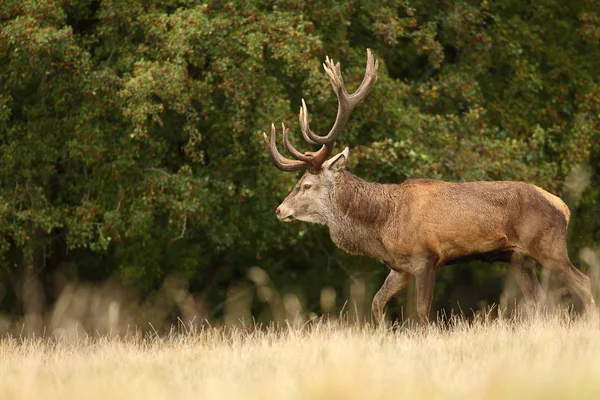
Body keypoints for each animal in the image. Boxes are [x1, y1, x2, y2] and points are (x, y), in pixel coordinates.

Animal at [264, 48, 596, 324]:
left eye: (306, 184)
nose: (279, 210)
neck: (382, 224)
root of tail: (563, 207)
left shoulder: (427, 257)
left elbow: (423, 312)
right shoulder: (399, 267)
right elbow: (376, 303)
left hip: (548, 246)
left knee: (583, 283)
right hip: (518, 258)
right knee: (541, 301)